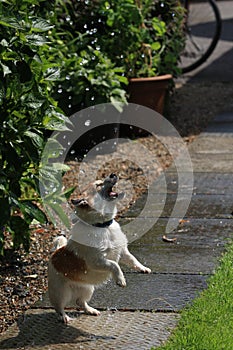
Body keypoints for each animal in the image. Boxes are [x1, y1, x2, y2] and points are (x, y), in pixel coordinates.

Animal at [48, 174, 151, 324]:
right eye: (98, 185)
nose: (113, 174)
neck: (102, 226)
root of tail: (54, 254)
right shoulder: (96, 261)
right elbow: (114, 265)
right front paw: (120, 279)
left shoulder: (122, 252)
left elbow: (133, 259)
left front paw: (143, 268)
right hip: (61, 293)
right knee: (58, 307)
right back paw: (64, 317)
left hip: (87, 288)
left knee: (80, 301)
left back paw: (91, 310)